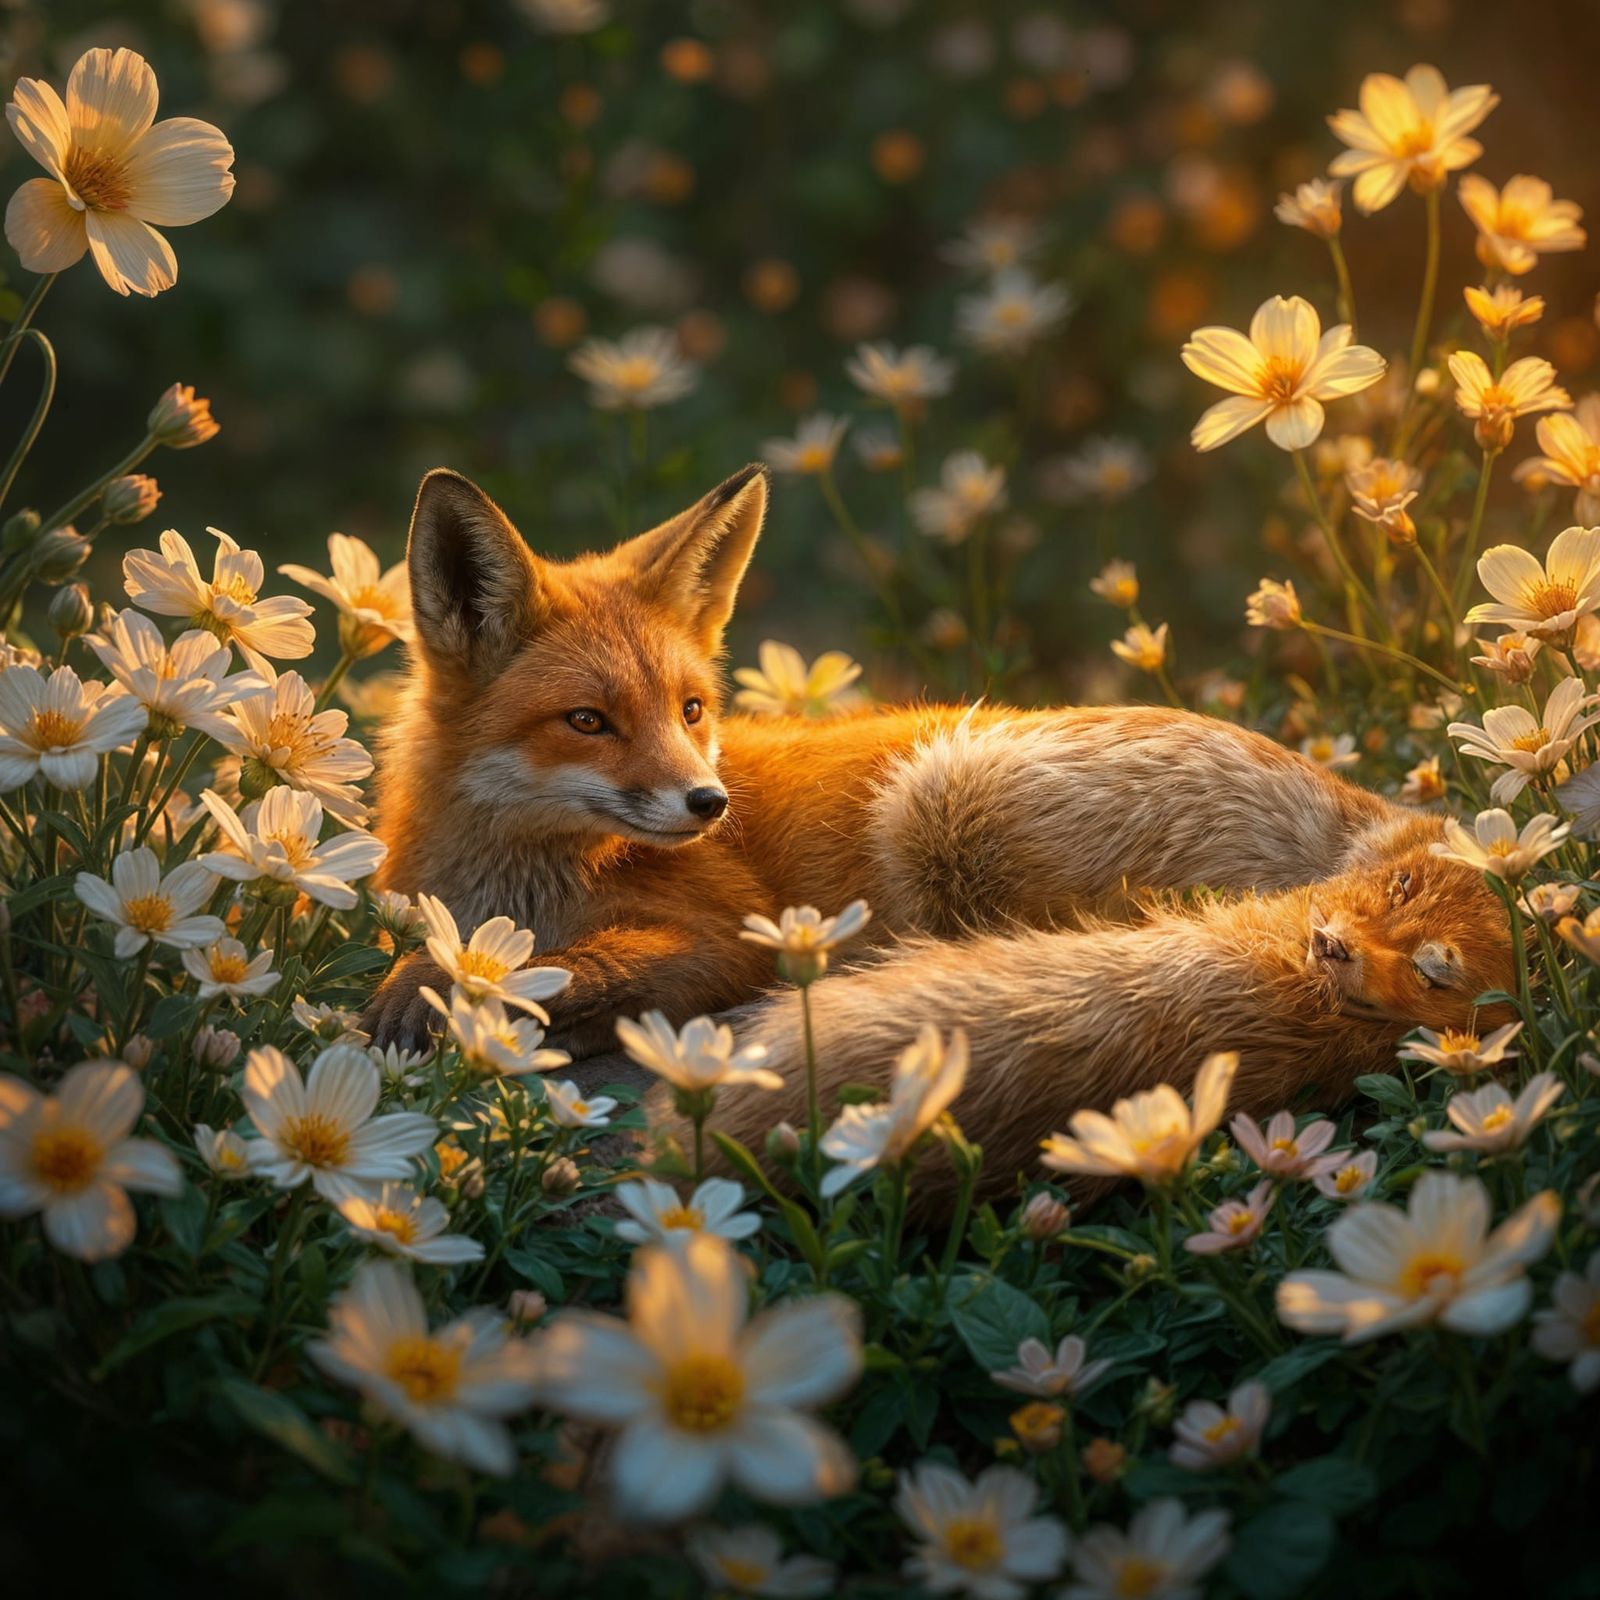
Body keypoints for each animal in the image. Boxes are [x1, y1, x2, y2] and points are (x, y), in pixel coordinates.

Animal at [365, 466, 1511, 1149]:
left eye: (690, 708)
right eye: (589, 721)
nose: (708, 801)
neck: (514, 881)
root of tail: (1394, 832)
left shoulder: (724, 936)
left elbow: (564, 969)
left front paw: (429, 987)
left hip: (940, 804)